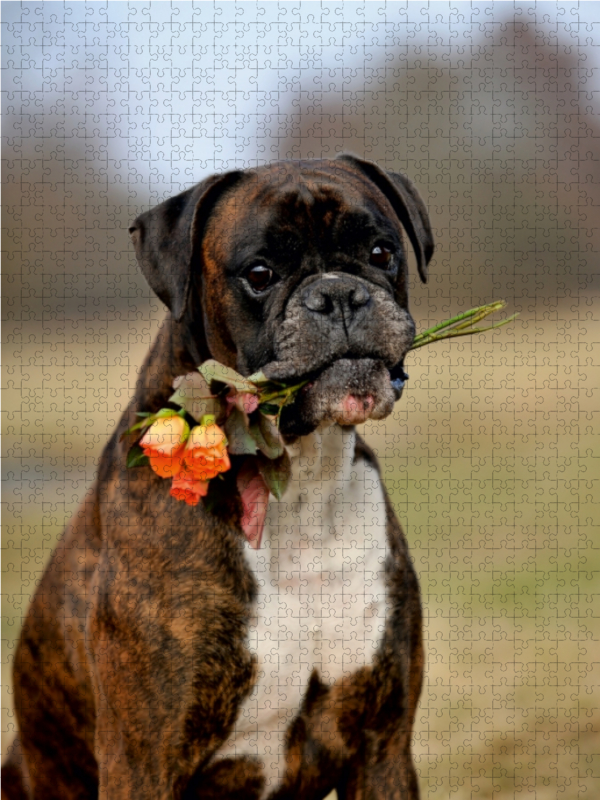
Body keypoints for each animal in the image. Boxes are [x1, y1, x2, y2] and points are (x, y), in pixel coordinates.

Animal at [4, 156, 436, 800]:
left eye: (382, 252)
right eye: (259, 273)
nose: (338, 293)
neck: (296, 482)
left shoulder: (382, 748)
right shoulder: (142, 762)